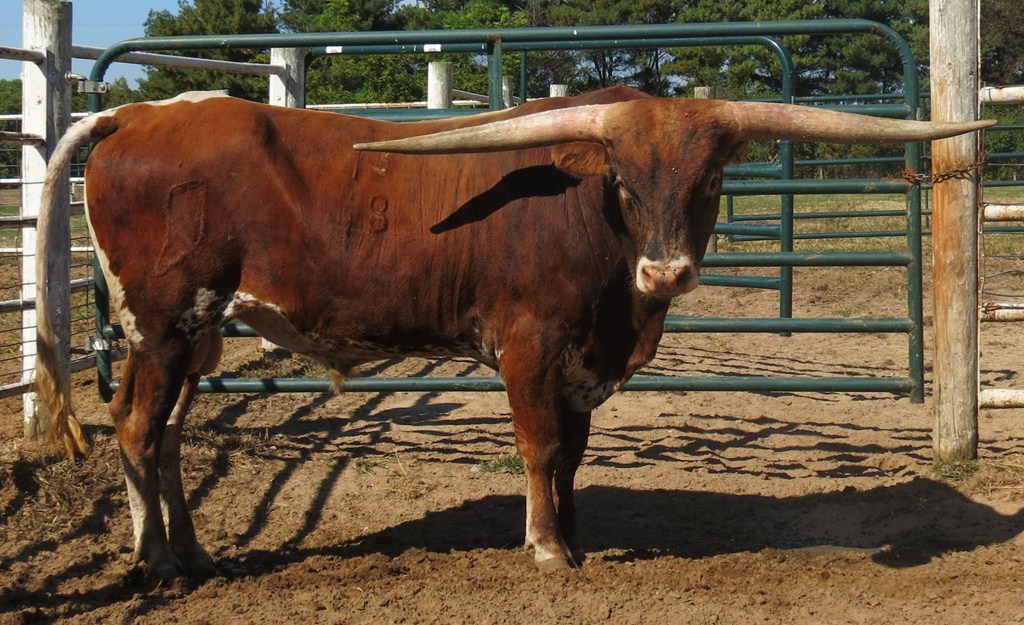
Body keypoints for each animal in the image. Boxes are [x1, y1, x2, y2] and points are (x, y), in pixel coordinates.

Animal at [33, 86, 991, 580]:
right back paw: (156, 558)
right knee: (134, 425)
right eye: (625, 181)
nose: (667, 274)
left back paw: (193, 549)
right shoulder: (528, 348)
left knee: (167, 433)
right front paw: (545, 549)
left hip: (198, 333)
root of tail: (140, 113)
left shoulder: (586, 363)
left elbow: (571, 456)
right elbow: (536, 448)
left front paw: (575, 533)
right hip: (161, 323)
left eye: (712, 180)